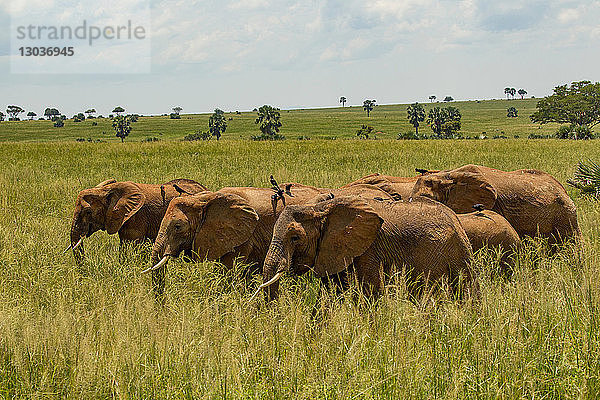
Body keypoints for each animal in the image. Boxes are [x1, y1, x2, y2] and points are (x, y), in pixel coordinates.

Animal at [260, 195, 476, 302]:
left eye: (295, 238)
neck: (321, 207)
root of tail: (457, 223)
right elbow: (328, 295)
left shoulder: (369, 249)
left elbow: (371, 292)